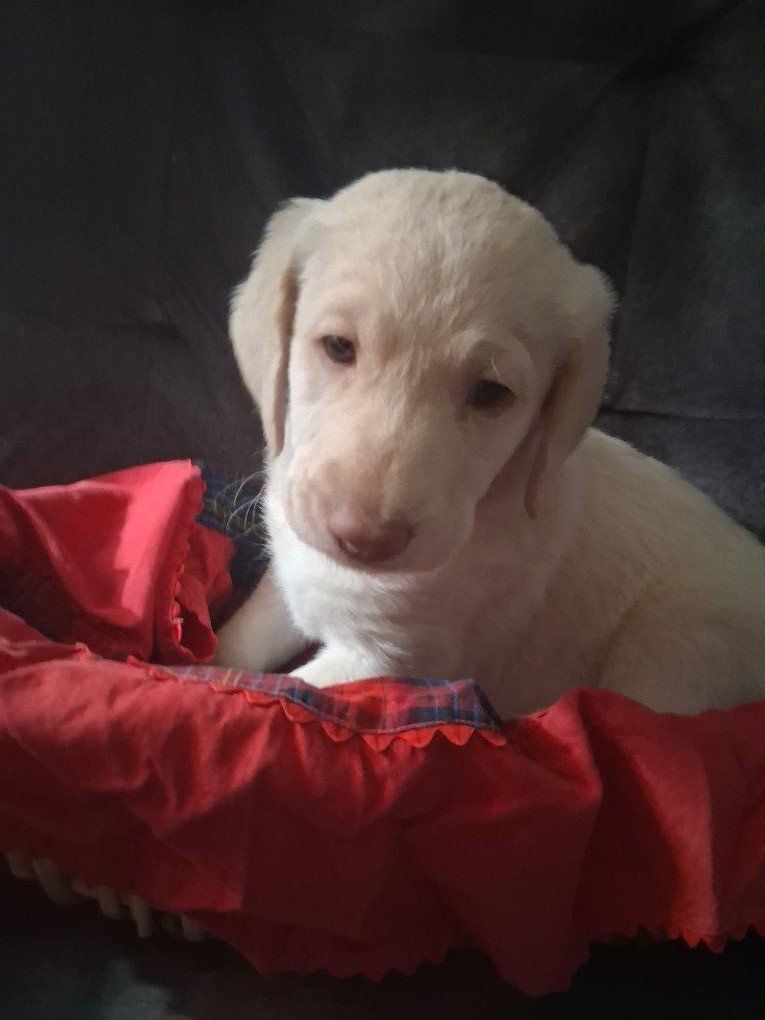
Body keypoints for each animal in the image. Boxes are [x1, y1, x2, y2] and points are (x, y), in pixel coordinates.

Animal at [215, 169, 765, 717]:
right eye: (337, 347)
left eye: (490, 393)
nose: (366, 538)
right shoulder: (288, 578)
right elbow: (238, 645)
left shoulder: (388, 658)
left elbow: (284, 686)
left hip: (676, 652)